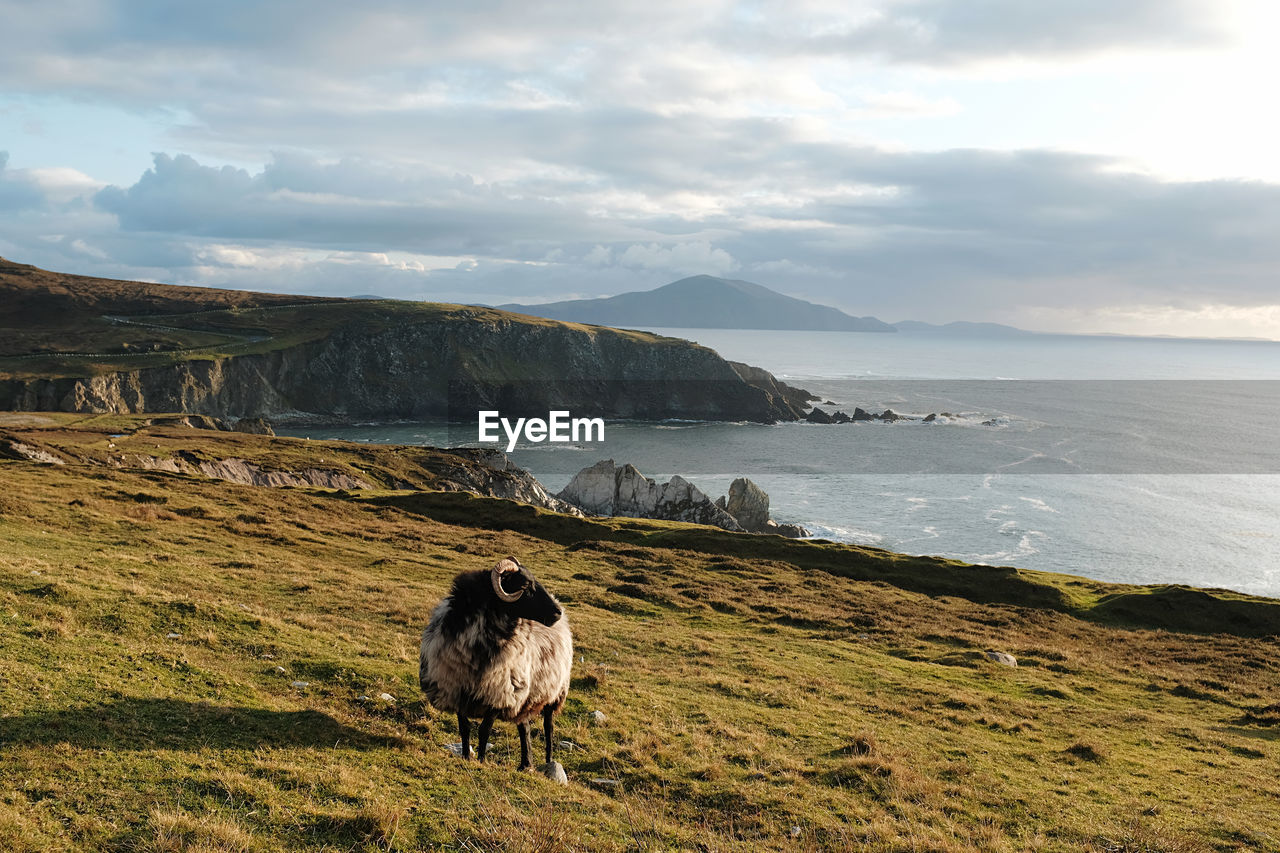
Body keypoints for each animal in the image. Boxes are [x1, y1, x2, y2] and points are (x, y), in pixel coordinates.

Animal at [417, 555, 573, 768]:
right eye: (524, 585)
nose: (557, 612)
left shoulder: (498, 694)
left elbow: (484, 731)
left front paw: (481, 761)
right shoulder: (457, 690)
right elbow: (464, 728)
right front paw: (466, 757)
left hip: (554, 692)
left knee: (548, 727)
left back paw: (549, 761)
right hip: (525, 695)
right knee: (524, 727)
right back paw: (525, 764)